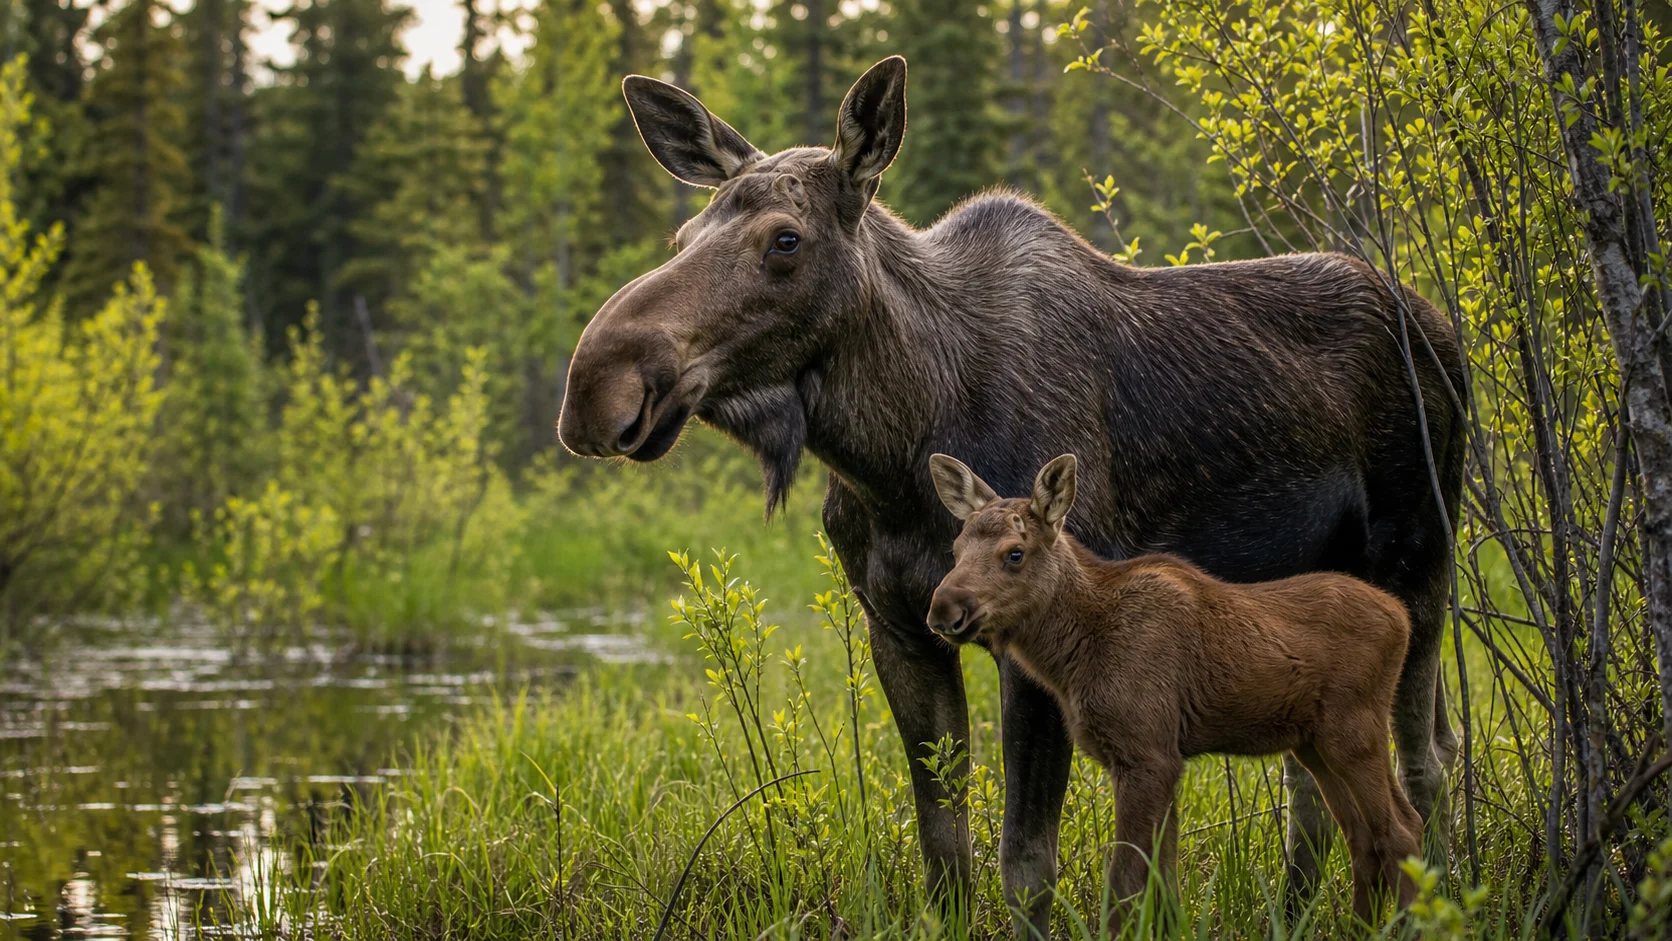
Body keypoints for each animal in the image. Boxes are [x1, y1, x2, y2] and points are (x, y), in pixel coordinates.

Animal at [926, 451, 1423, 927]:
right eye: (955, 548)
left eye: (1014, 553)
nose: (943, 609)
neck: (1073, 656)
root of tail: (1402, 619)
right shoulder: (1157, 757)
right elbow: (1163, 885)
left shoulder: (1148, 754)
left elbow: (1125, 885)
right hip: (1314, 744)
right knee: (1369, 837)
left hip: (1352, 730)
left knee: (1400, 832)